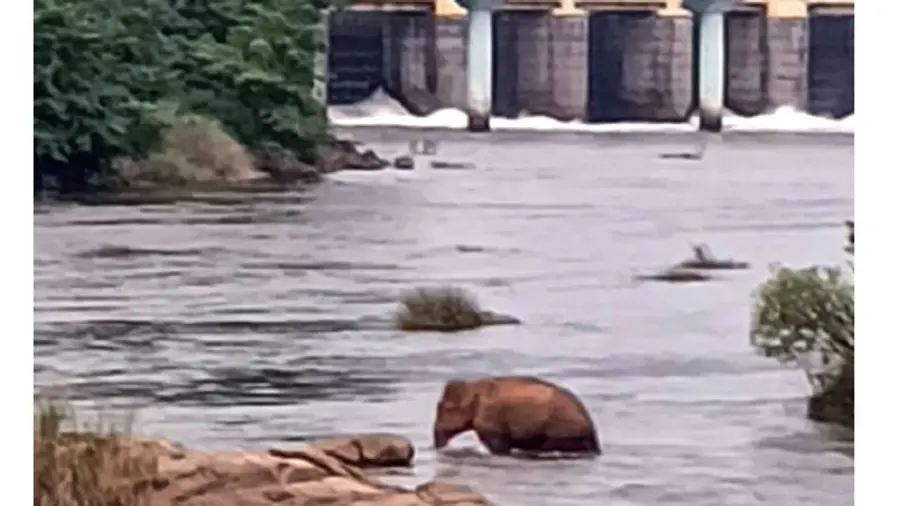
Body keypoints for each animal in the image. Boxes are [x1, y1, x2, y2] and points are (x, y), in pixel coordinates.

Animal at [432, 376, 601, 456]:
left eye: (444, 408)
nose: (439, 447)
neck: (475, 386)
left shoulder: (491, 415)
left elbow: (497, 445)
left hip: (562, 430)